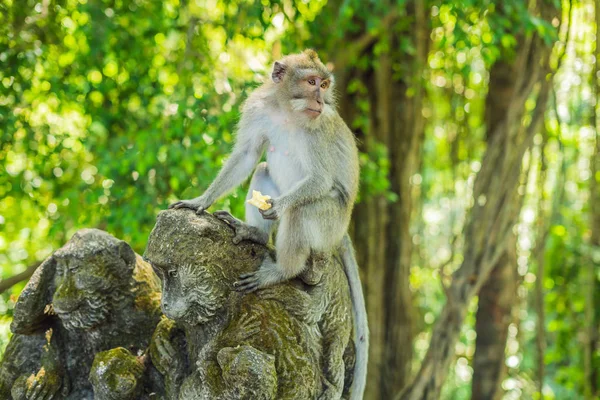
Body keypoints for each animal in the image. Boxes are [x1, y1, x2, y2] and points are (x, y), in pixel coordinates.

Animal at [170, 50, 370, 400]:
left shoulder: (318, 129)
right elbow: (248, 155)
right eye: (312, 82)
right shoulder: (258, 109)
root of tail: (342, 230)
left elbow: (319, 180)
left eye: (324, 84)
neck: (288, 111)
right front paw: (201, 201)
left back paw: (281, 270)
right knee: (264, 167)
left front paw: (276, 207)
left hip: (329, 222)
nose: (321, 99)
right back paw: (257, 235)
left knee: (300, 212)